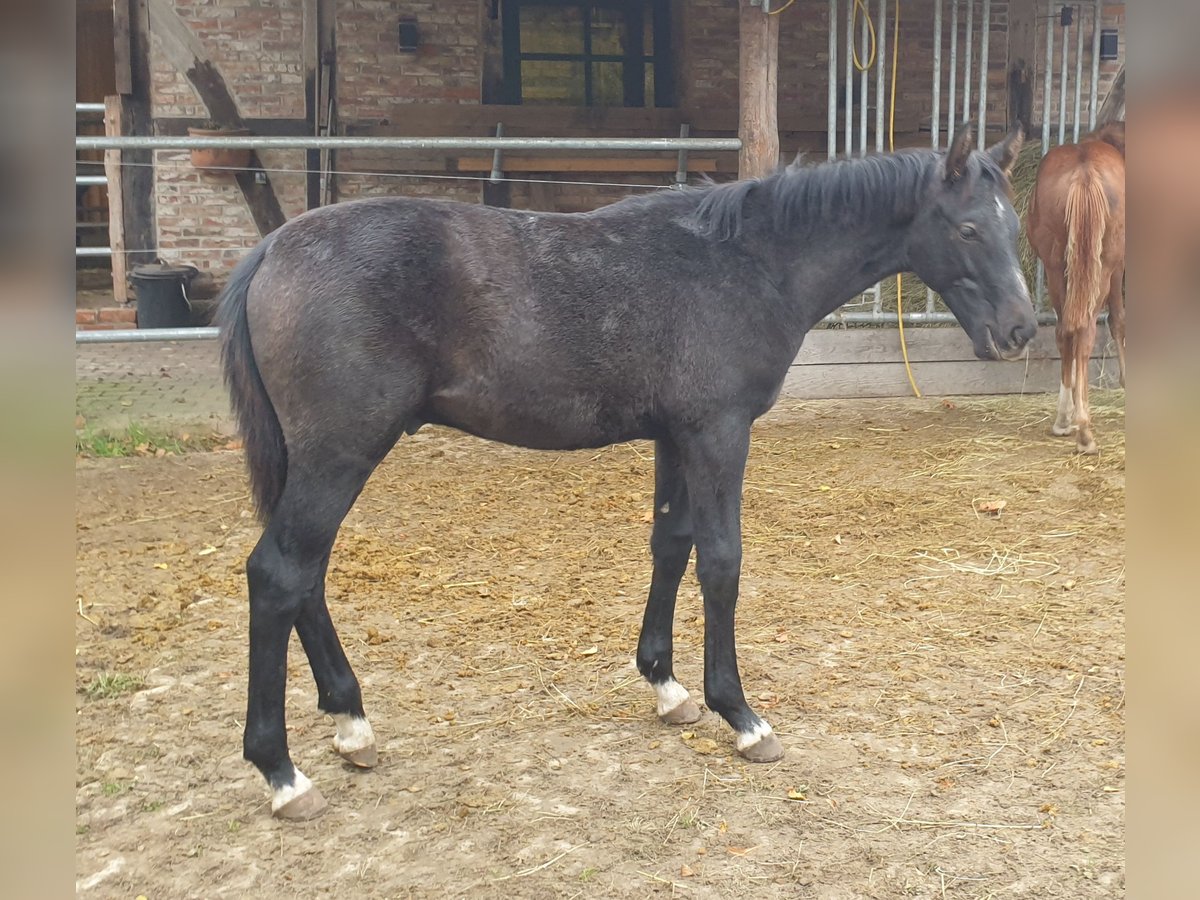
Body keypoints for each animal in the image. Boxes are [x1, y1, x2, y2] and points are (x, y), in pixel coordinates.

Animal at [1027, 120, 1118, 453]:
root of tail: (1084, 173)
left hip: (1058, 269)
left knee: (1066, 330)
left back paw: (1067, 420)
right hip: (1102, 268)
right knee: (1085, 332)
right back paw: (1082, 430)